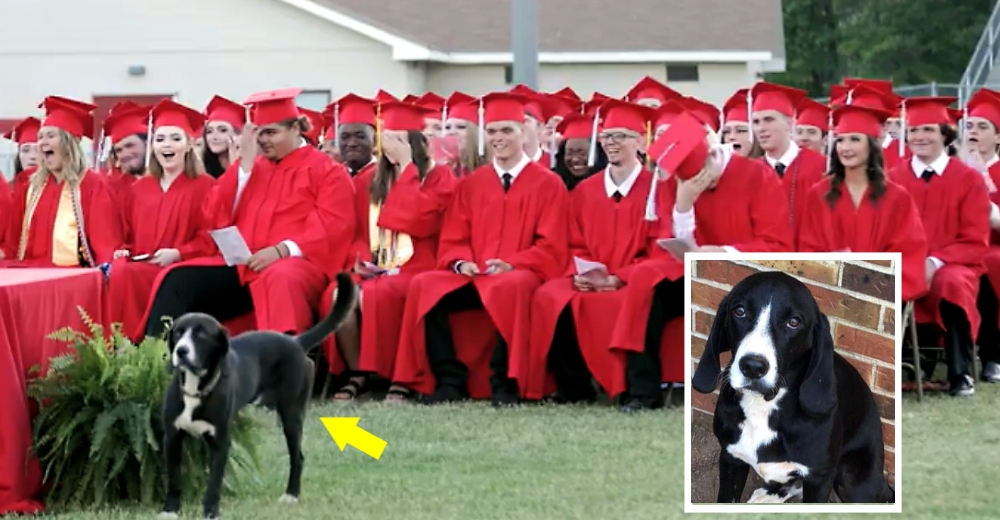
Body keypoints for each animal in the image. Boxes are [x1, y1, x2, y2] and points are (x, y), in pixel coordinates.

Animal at [158, 272, 358, 516]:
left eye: (202, 334)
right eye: (178, 332)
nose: (181, 351)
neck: (196, 389)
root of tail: (295, 341)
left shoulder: (221, 442)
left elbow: (214, 483)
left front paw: (210, 512)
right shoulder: (172, 437)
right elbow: (174, 479)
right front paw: (170, 510)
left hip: (291, 414)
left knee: (298, 457)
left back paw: (291, 495)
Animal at [692, 272, 896, 504]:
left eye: (794, 322)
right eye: (740, 311)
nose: (753, 367)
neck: (764, 407)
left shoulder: (819, 478)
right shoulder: (730, 459)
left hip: (853, 481)